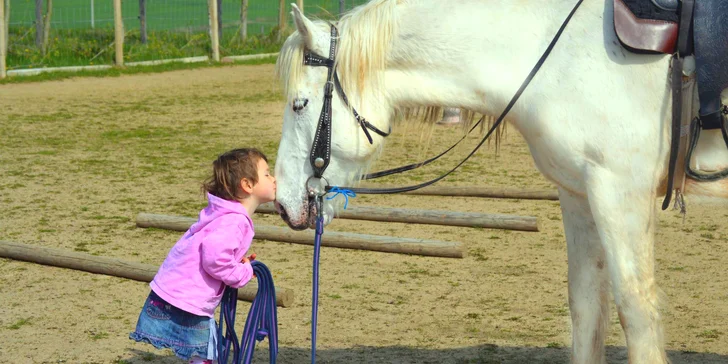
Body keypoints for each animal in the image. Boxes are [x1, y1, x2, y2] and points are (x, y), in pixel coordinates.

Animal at [272, 1, 728, 362]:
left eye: (299, 104)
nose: (282, 202)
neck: (560, 52)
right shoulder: (580, 194)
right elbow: (585, 307)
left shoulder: (621, 192)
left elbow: (636, 312)